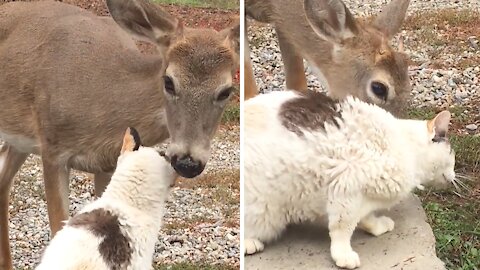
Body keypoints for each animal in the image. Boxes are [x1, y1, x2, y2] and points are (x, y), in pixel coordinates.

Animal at [246, 90, 456, 268]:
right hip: (266, 211)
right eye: (452, 156)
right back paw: (250, 242)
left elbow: (366, 218)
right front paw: (343, 256)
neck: (406, 146)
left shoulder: (361, 198)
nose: (455, 174)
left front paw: (378, 226)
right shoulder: (346, 188)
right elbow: (341, 229)